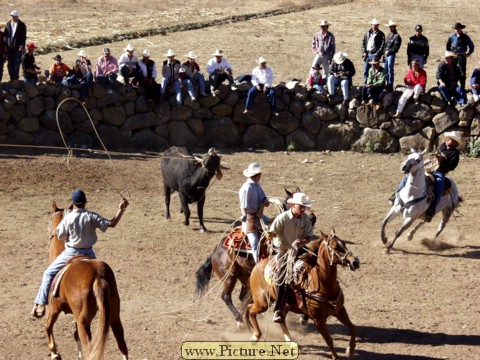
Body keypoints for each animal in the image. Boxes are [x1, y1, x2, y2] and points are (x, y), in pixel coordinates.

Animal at [43, 202, 127, 360]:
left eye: (50, 219)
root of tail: (98, 275)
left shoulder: (55, 307)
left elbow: (48, 325)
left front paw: (54, 352)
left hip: (84, 322)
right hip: (114, 316)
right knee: (122, 345)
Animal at [195, 188, 316, 326]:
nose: (312, 217)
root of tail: (215, 252)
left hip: (244, 275)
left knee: (243, 297)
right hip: (229, 277)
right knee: (226, 296)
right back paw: (240, 320)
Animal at [244, 229, 360, 358]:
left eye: (344, 244)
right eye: (335, 247)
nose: (355, 262)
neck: (323, 285)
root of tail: (257, 266)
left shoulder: (339, 310)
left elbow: (353, 328)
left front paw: (350, 349)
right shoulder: (318, 320)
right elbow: (329, 340)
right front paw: (336, 356)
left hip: (284, 305)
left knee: (280, 318)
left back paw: (290, 341)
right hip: (262, 303)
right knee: (250, 309)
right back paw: (255, 336)